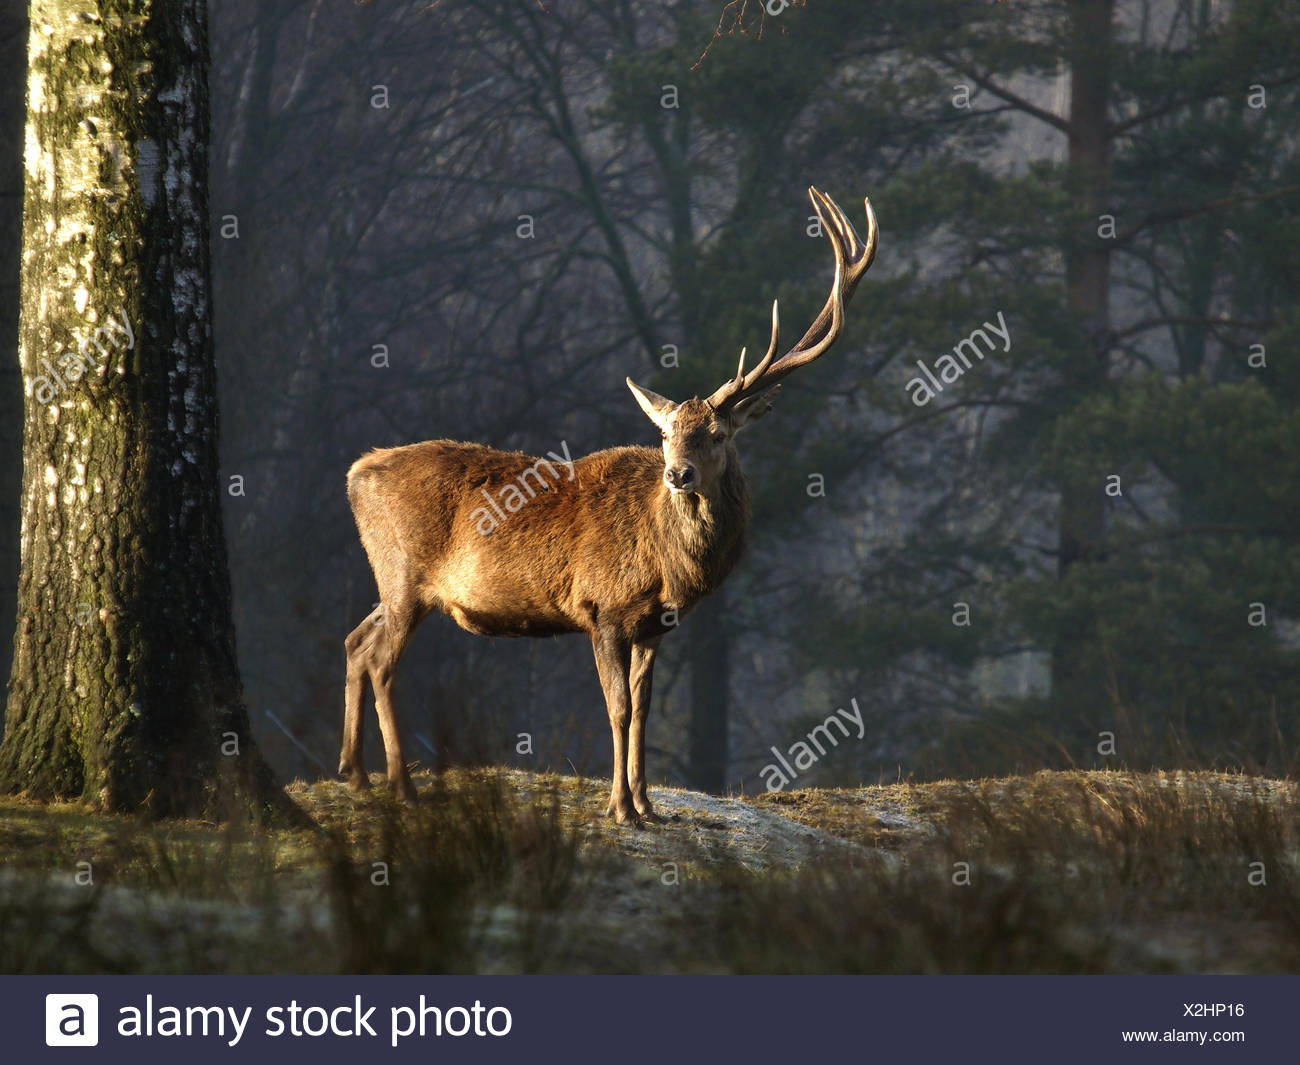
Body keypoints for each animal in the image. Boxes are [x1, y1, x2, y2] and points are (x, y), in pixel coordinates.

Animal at [341, 187, 877, 822]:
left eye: (717, 434)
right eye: (665, 434)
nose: (678, 474)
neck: (671, 566)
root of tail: (355, 473)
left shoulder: (654, 624)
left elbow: (642, 709)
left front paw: (648, 806)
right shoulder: (602, 607)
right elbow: (617, 708)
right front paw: (619, 806)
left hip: (393, 581)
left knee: (355, 642)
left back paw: (355, 774)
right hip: (405, 574)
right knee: (381, 660)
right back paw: (401, 785)